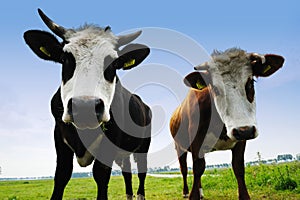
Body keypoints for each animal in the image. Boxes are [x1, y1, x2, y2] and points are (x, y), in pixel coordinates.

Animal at [22, 9, 152, 200]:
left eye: (113, 63)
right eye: (65, 58)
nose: (85, 107)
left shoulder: (109, 142)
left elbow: (101, 174)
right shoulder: (59, 136)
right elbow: (62, 174)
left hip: (143, 147)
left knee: (142, 171)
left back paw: (140, 195)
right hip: (124, 153)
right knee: (127, 171)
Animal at [170, 47, 284, 199]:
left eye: (250, 83)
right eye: (215, 89)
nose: (245, 131)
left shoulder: (241, 139)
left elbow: (238, 167)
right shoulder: (196, 141)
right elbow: (197, 168)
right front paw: (193, 195)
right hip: (179, 147)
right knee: (184, 169)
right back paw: (185, 192)